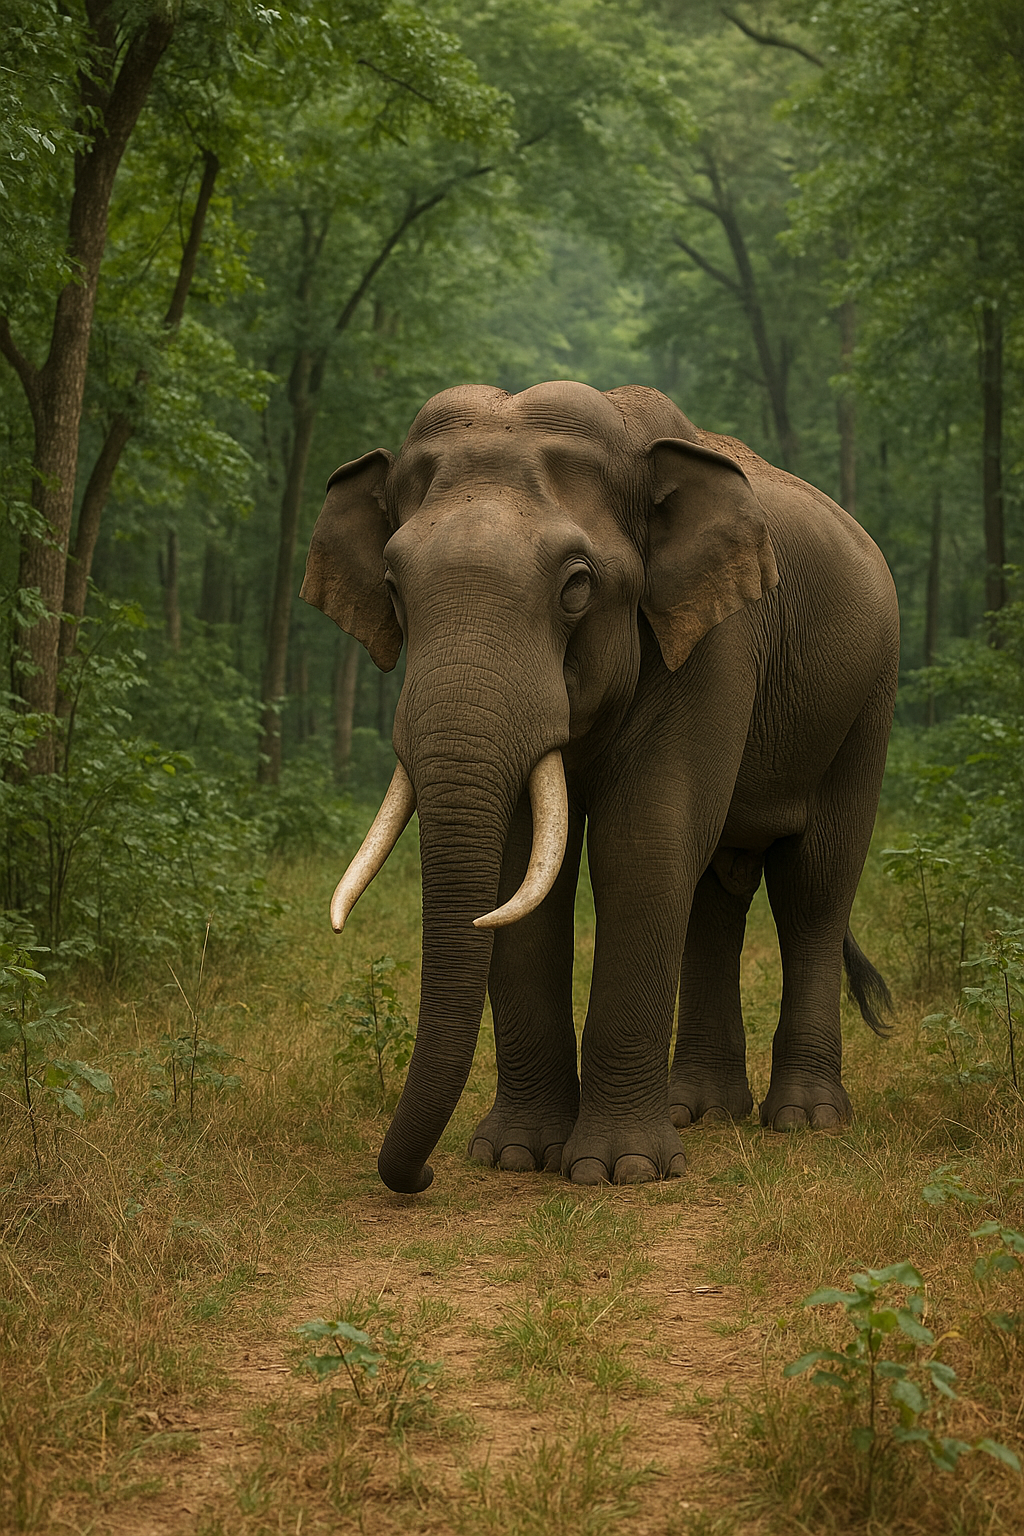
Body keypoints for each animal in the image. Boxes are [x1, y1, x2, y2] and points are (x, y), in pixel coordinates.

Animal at [301, 381, 899, 1195]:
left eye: (577, 586)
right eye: (392, 587)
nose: (416, 1178)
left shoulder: (713, 640)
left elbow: (643, 844)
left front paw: (620, 1171)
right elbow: (524, 867)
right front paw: (515, 1157)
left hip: (867, 699)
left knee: (814, 883)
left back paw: (804, 1120)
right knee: (717, 889)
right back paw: (702, 1112)